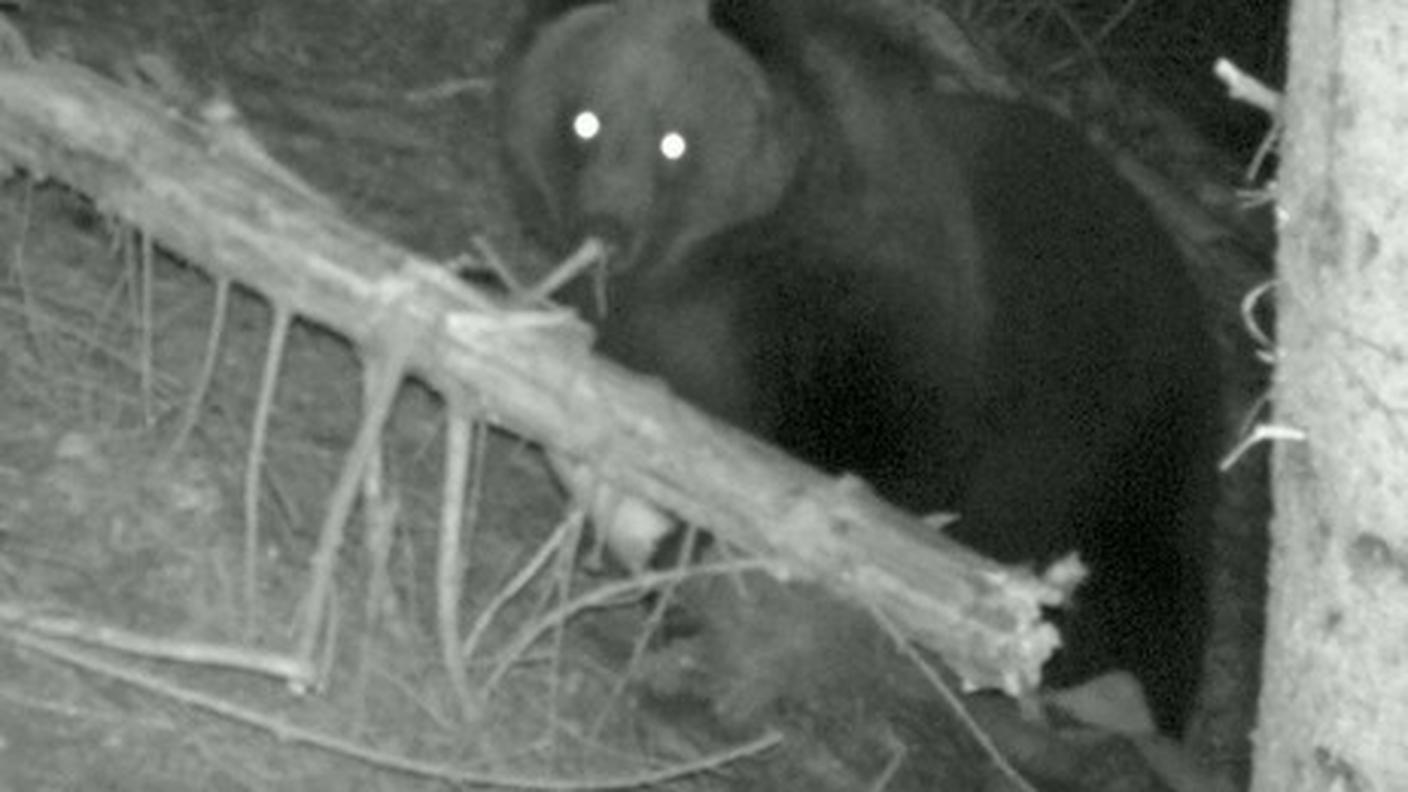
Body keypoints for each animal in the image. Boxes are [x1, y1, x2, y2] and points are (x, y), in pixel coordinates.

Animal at [496, 0, 1220, 743]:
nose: (608, 229)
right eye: (585, 120)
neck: (730, 259)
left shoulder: (874, 320)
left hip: (1116, 444)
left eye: (675, 142)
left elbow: (876, 475)